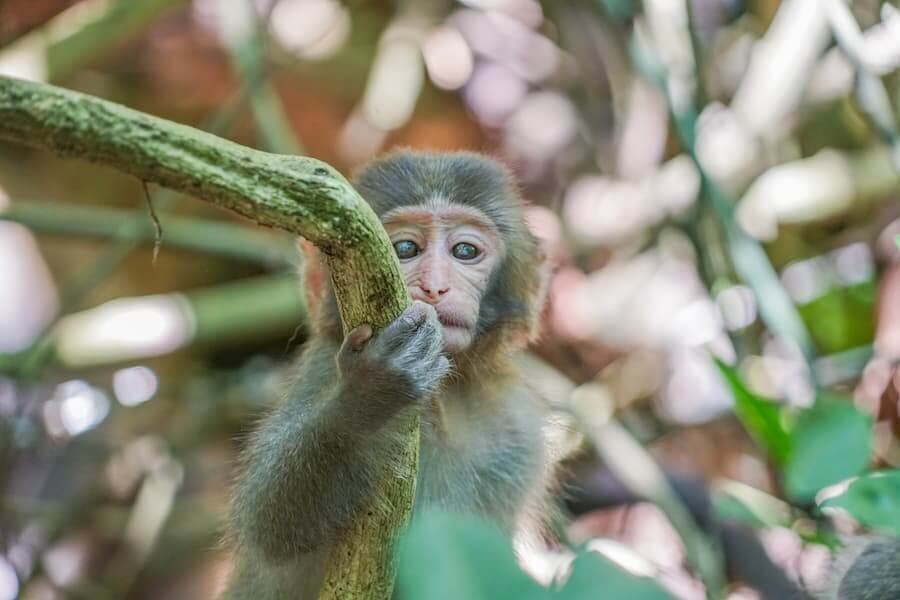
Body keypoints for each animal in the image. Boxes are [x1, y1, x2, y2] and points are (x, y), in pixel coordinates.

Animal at [221, 150, 552, 600]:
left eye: (465, 251)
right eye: (405, 248)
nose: (434, 287)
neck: (443, 396)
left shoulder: (519, 429)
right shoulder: (324, 367)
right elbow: (270, 524)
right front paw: (368, 396)